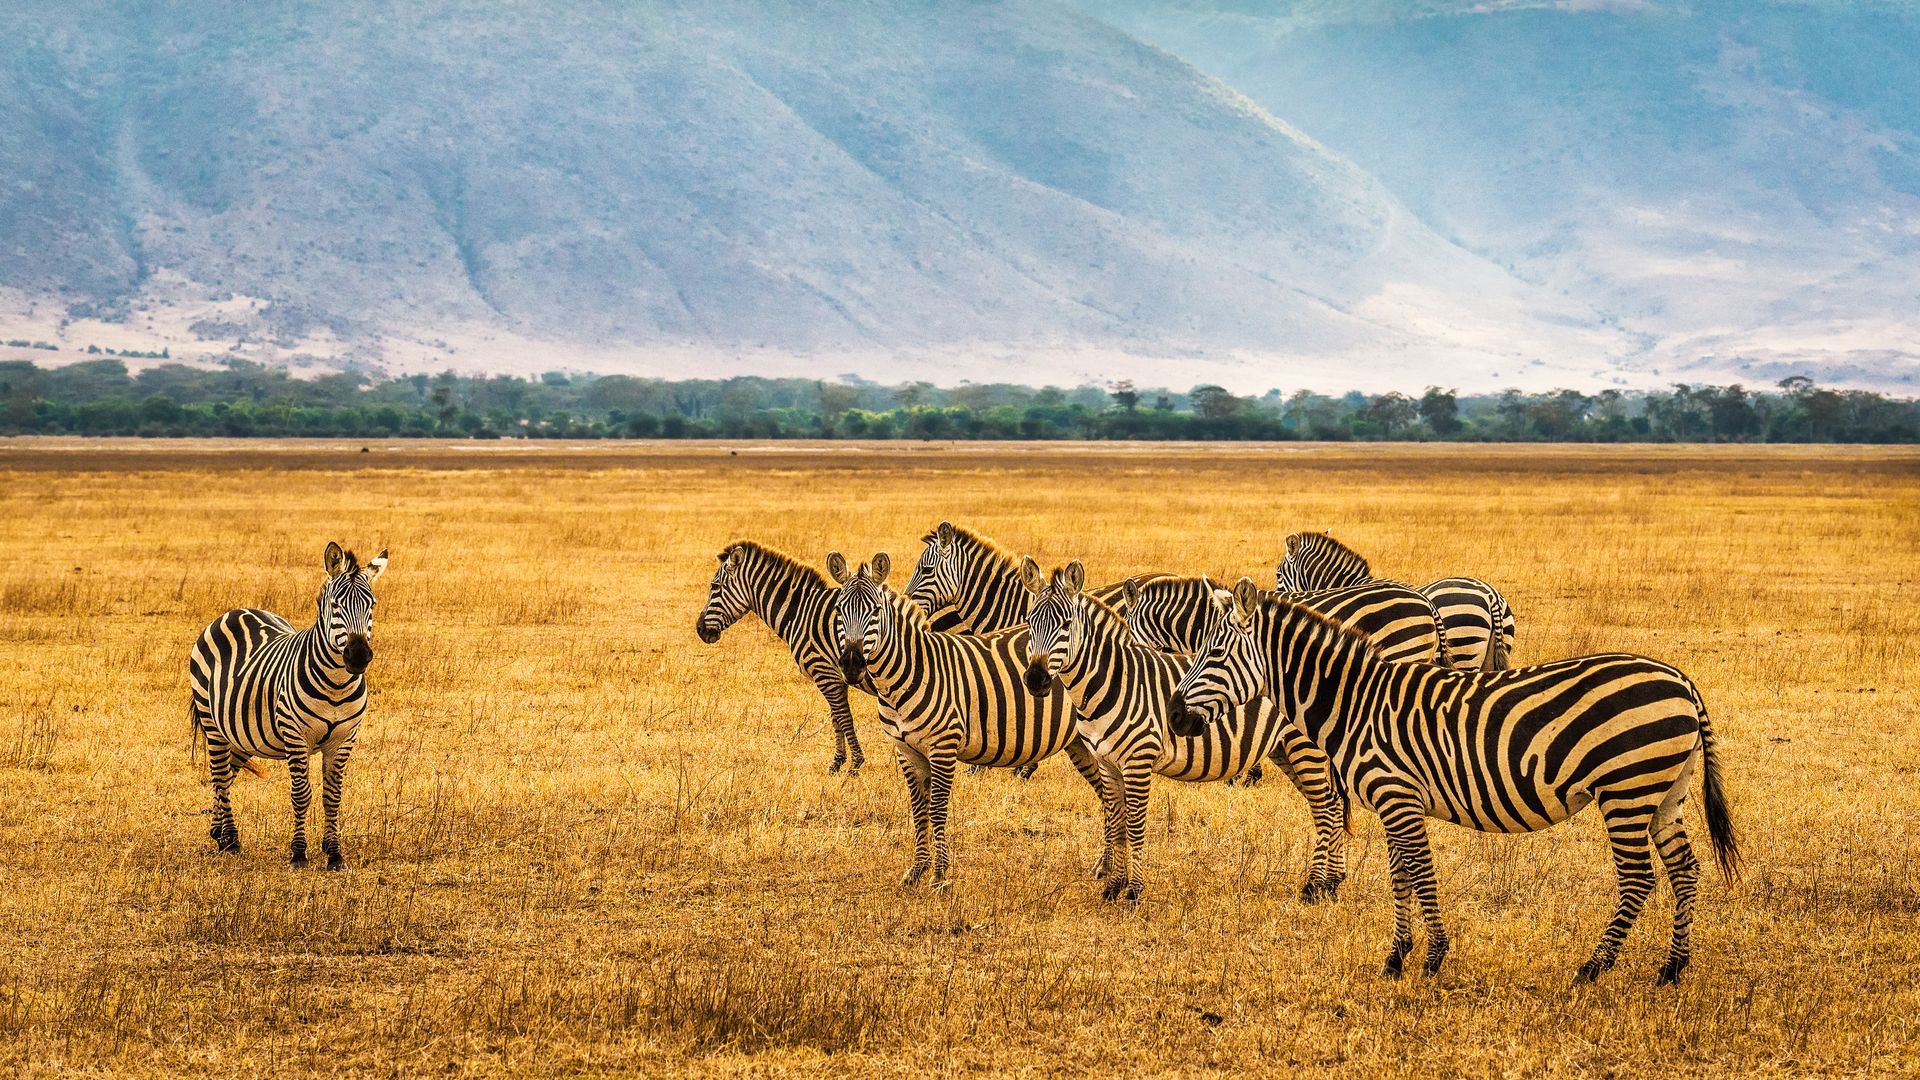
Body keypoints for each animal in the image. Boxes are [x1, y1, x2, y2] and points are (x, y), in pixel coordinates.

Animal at [188, 542, 388, 868]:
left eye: (371, 604)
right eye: (336, 606)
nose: (358, 656)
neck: (336, 684)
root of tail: (236, 611)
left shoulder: (345, 739)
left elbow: (332, 796)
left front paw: (334, 854)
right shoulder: (295, 736)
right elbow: (301, 794)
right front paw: (298, 853)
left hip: (239, 730)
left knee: (227, 775)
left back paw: (220, 834)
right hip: (211, 721)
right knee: (219, 774)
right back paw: (231, 840)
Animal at [830, 551, 1103, 888]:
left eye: (876, 611)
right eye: (839, 610)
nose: (852, 664)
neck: (908, 673)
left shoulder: (943, 746)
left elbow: (937, 809)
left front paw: (939, 875)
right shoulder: (906, 750)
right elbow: (918, 809)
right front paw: (916, 871)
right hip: (1080, 744)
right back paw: (1103, 868)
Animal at [1021, 559, 1343, 902]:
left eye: (1067, 624)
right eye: (1029, 622)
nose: (1036, 679)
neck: (1112, 680)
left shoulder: (1138, 760)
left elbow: (1135, 825)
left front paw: (1133, 892)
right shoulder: (1107, 763)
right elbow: (1116, 824)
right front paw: (1113, 888)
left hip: (1304, 747)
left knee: (1325, 808)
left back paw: (1315, 886)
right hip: (1284, 750)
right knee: (1332, 804)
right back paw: (1334, 882)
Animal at [1170, 578, 1740, 984]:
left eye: (1215, 655)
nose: (1174, 716)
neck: (1358, 702)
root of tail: (1681, 680)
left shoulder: (1398, 797)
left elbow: (1420, 873)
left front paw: (1433, 956)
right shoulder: (1392, 801)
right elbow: (1400, 875)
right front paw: (1397, 957)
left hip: (1626, 789)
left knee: (1639, 878)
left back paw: (1593, 968)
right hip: (1664, 792)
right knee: (1685, 869)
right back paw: (1672, 969)